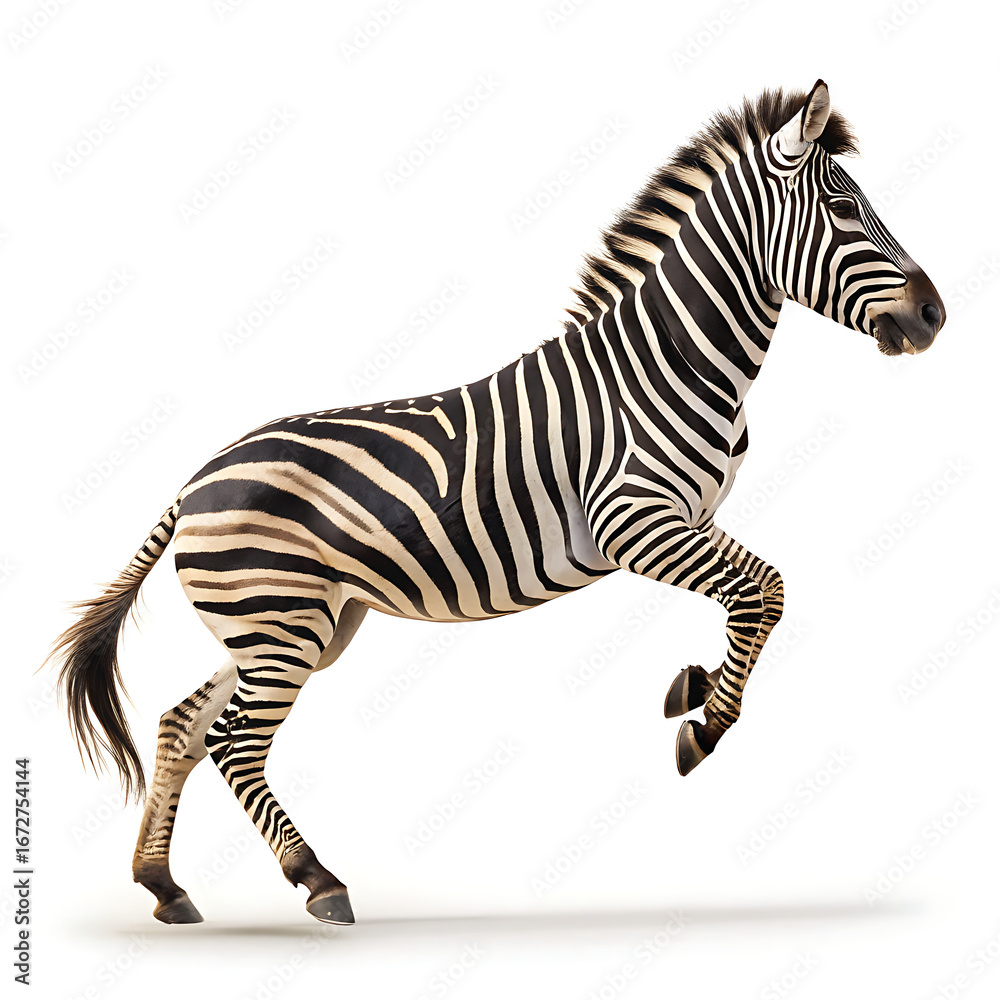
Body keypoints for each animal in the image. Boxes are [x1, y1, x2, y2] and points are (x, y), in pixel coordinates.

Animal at [52, 80, 945, 926]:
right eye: (844, 208)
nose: (934, 315)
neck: (670, 360)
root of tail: (193, 481)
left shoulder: (694, 520)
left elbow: (753, 599)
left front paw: (693, 688)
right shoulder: (633, 523)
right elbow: (766, 591)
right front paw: (705, 724)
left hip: (295, 623)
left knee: (181, 725)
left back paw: (164, 885)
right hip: (278, 620)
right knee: (234, 742)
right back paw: (318, 881)